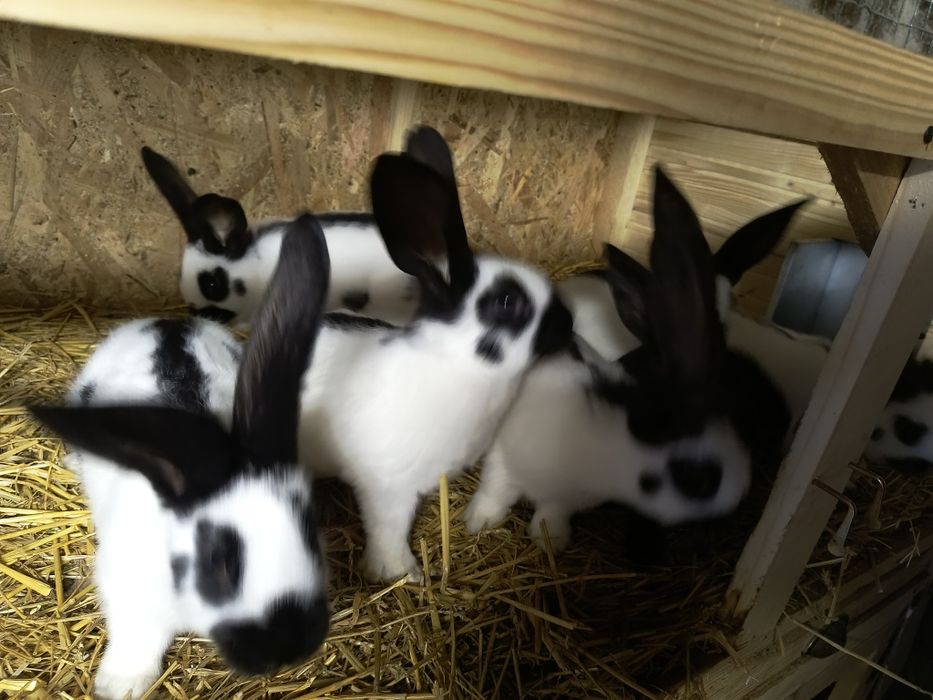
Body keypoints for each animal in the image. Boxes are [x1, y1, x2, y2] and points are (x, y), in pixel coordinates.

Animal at [29, 215, 332, 699]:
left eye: (311, 531)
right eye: (221, 562)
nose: (288, 648)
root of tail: (165, 324)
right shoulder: (125, 587)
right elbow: (137, 637)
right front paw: (121, 685)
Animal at [295, 126, 574, 582]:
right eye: (508, 302)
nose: (568, 324)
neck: (460, 367)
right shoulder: (387, 487)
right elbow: (389, 530)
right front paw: (402, 573)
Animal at [464, 167, 791, 551]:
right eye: (697, 478)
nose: (740, 494)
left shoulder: (568, 498)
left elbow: (551, 511)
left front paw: (551, 540)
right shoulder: (503, 458)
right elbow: (496, 491)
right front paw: (480, 522)